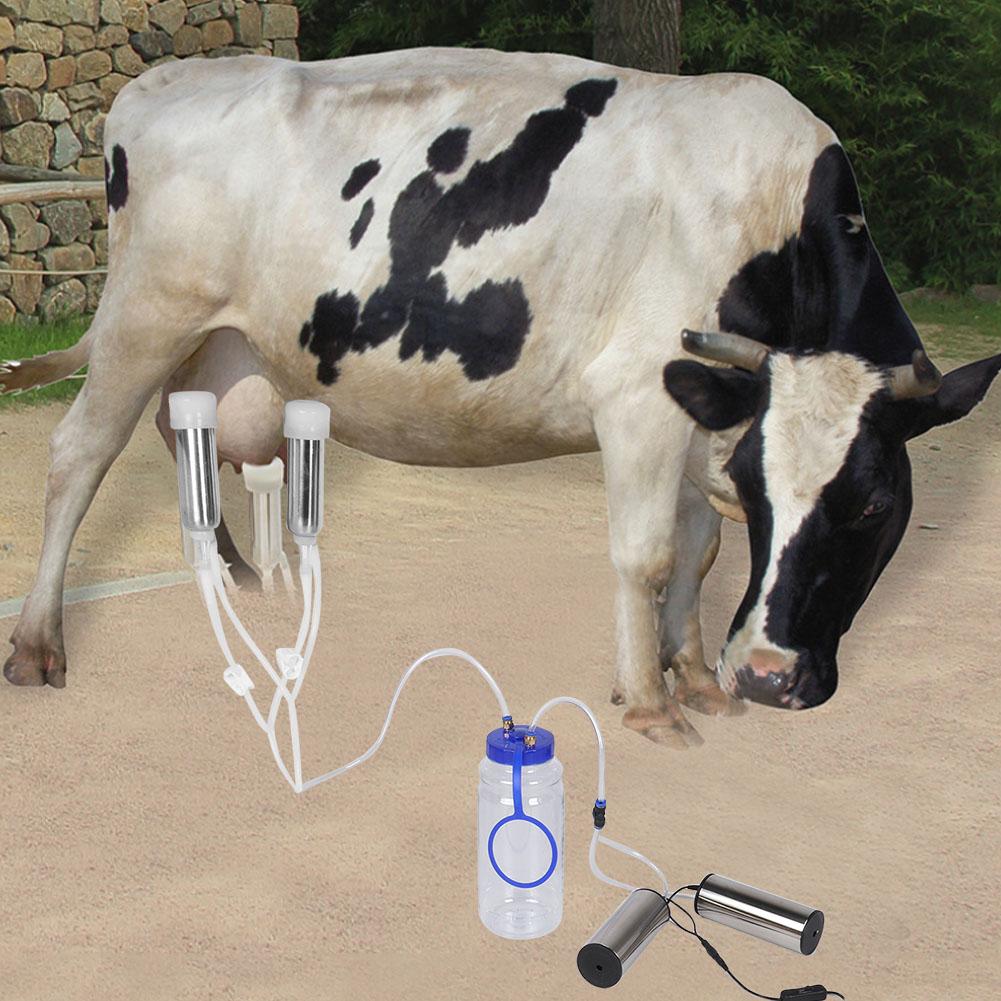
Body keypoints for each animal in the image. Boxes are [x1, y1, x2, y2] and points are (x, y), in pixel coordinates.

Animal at [2, 49, 998, 748]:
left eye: (870, 504)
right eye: (768, 496)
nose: (762, 674)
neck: (772, 217)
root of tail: (160, 81)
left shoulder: (708, 412)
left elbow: (697, 548)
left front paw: (690, 677)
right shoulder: (637, 394)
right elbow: (646, 555)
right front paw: (648, 704)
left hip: (214, 343)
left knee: (187, 435)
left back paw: (233, 578)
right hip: (144, 316)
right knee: (80, 454)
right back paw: (40, 642)